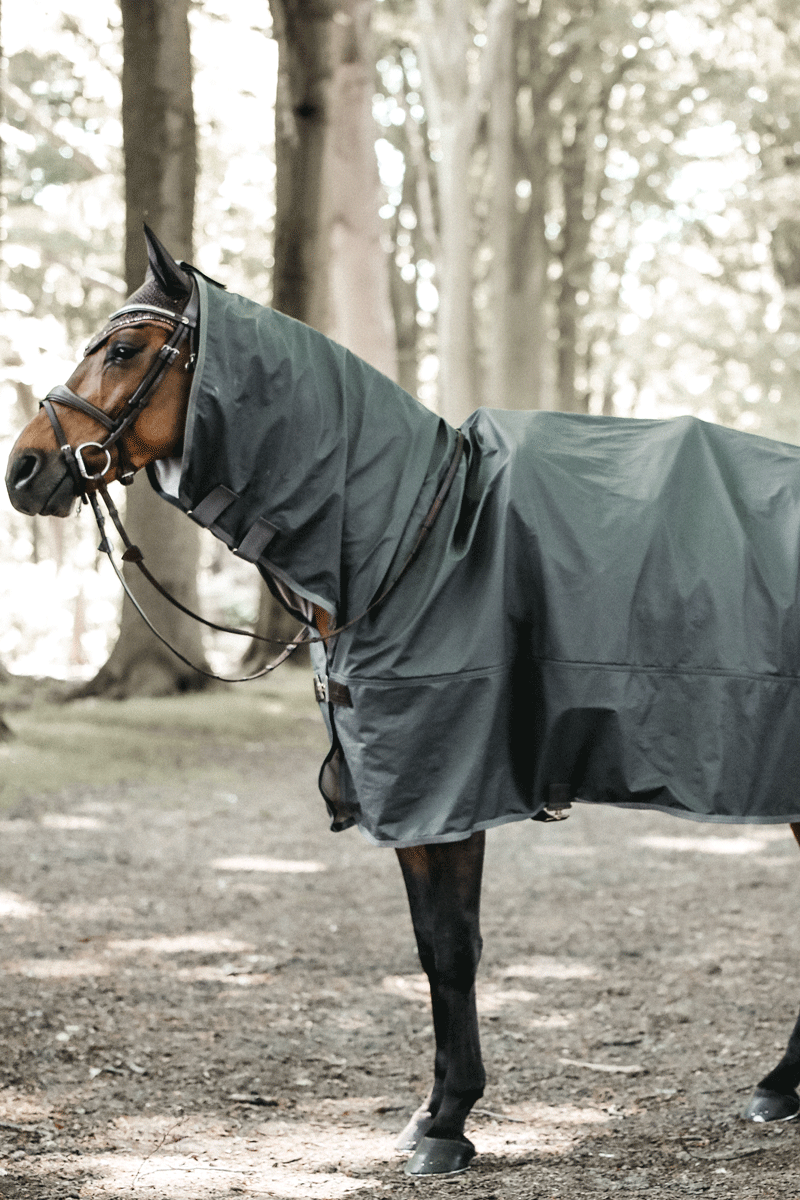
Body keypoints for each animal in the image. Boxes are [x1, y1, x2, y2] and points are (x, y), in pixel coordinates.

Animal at [8, 226, 800, 1175]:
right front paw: (431, 1114)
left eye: (123, 350)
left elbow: (455, 951)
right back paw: (783, 1086)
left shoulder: (444, 786)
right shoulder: (409, 797)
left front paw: (451, 1123)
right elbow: (431, 948)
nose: (22, 468)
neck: (410, 536)